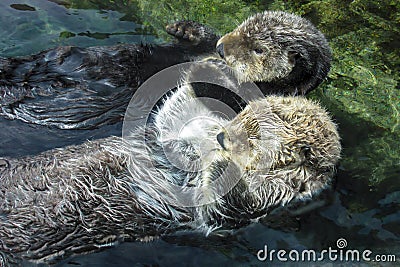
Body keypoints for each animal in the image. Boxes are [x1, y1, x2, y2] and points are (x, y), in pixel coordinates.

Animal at [0, 11, 332, 130]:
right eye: (240, 27)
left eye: (259, 49)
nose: (222, 50)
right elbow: (199, 41)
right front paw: (183, 28)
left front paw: (212, 69)